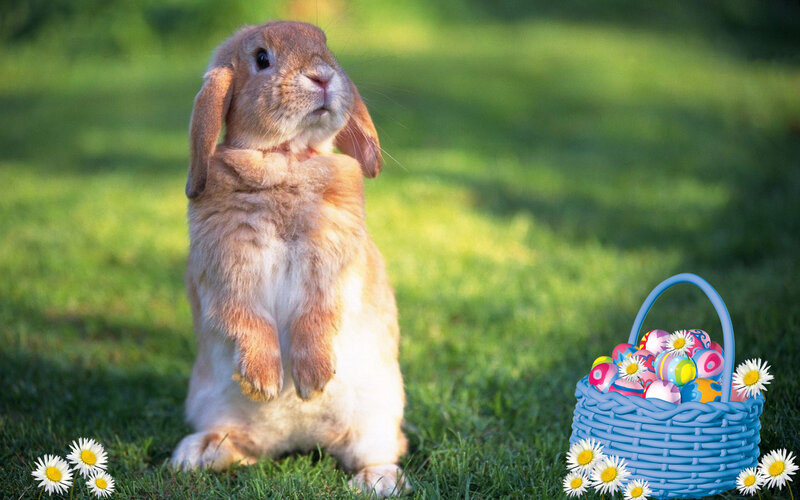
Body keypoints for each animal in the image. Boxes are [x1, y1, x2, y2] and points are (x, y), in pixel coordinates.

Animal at [170, 21, 408, 497]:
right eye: (262, 58)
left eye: (325, 46)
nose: (323, 77)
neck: (285, 159)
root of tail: (298, 440)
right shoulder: (228, 272)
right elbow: (247, 318)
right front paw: (264, 382)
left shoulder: (332, 269)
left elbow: (317, 316)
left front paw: (313, 381)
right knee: (242, 446)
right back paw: (197, 453)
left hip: (377, 415)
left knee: (379, 450)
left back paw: (376, 480)